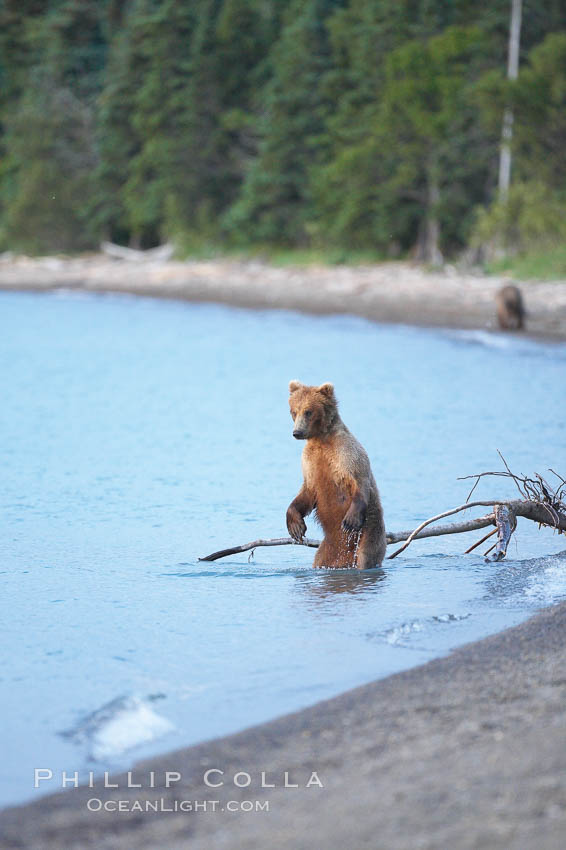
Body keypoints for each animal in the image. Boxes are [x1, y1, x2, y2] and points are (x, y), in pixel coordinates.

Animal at [286, 382, 388, 568]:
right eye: (294, 411)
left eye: (308, 411)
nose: (297, 432)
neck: (321, 438)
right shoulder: (309, 463)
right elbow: (307, 491)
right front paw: (296, 527)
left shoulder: (345, 453)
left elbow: (359, 480)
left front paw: (350, 520)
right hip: (326, 550)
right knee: (320, 559)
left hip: (370, 534)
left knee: (366, 556)